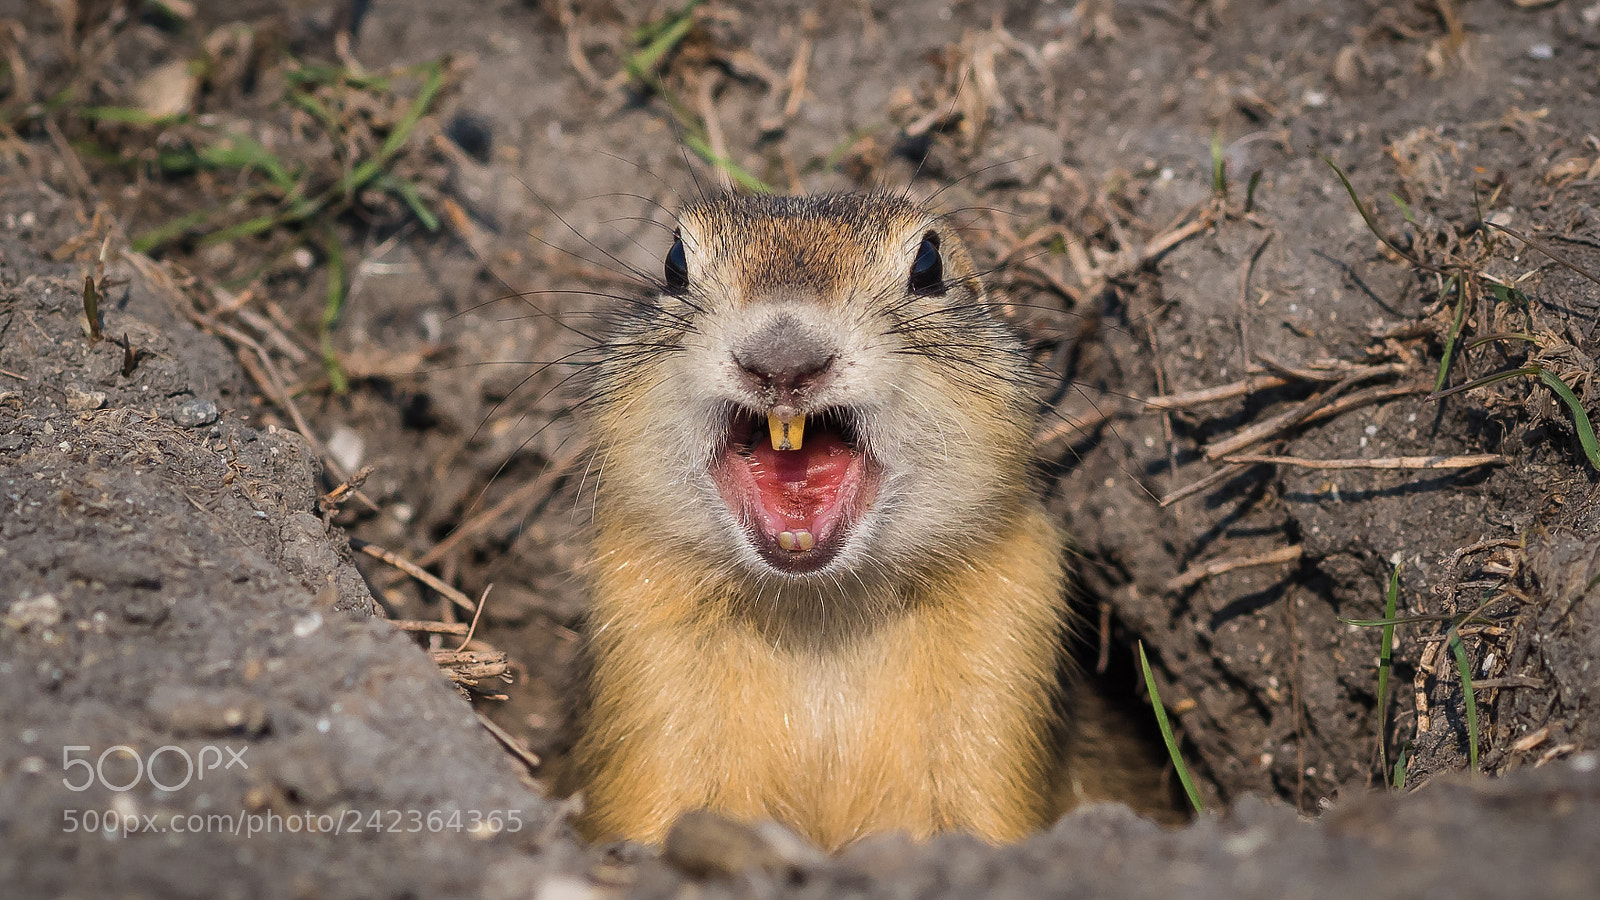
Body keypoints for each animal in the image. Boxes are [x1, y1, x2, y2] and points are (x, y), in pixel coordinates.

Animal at [567, 192, 1148, 850]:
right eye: (673, 263)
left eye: (929, 264)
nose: (783, 359)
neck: (817, 612)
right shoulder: (646, 649)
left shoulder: (1005, 632)